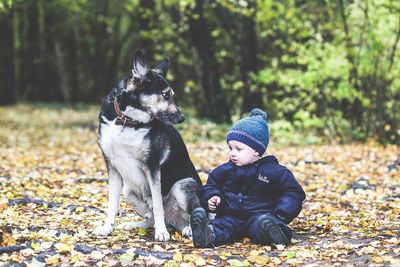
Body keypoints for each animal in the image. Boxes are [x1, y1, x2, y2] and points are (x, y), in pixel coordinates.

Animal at [92, 50, 202, 243]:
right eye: (166, 95)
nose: (182, 118)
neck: (128, 121)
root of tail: (173, 220)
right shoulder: (112, 166)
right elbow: (112, 204)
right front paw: (107, 228)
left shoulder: (152, 167)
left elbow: (157, 204)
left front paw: (161, 232)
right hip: (128, 191)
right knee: (151, 218)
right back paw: (135, 224)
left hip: (182, 186)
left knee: (196, 214)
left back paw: (187, 228)